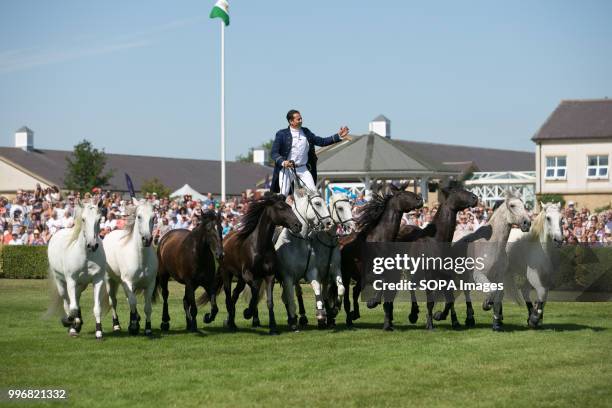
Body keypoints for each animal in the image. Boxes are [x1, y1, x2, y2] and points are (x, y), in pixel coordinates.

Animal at [47, 200, 106, 338]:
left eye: (99, 219)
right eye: (83, 219)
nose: (92, 245)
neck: (86, 256)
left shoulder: (97, 280)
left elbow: (97, 308)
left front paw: (98, 331)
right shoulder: (71, 280)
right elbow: (72, 308)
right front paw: (69, 322)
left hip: (81, 285)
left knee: (76, 300)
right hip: (61, 281)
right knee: (66, 301)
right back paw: (72, 325)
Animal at [103, 198, 157, 334]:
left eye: (153, 217)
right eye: (139, 216)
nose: (147, 239)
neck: (140, 259)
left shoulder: (150, 284)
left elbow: (147, 307)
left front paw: (148, 328)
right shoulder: (128, 282)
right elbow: (133, 302)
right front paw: (133, 326)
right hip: (110, 281)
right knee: (113, 302)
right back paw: (116, 325)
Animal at [220, 193, 302, 334]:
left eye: (290, 207)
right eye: (281, 208)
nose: (298, 225)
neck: (259, 246)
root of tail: (226, 238)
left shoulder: (269, 276)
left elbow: (269, 301)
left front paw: (273, 327)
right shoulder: (248, 274)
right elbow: (254, 292)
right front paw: (247, 312)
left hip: (240, 279)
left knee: (235, 294)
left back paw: (232, 323)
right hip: (227, 274)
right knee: (228, 297)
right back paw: (231, 323)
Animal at [340, 185, 420, 332]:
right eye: (401, 194)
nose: (420, 199)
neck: (381, 240)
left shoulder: (393, 275)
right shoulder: (369, 275)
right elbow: (381, 282)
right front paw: (372, 302)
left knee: (355, 292)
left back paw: (355, 314)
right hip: (346, 275)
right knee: (348, 297)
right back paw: (349, 318)